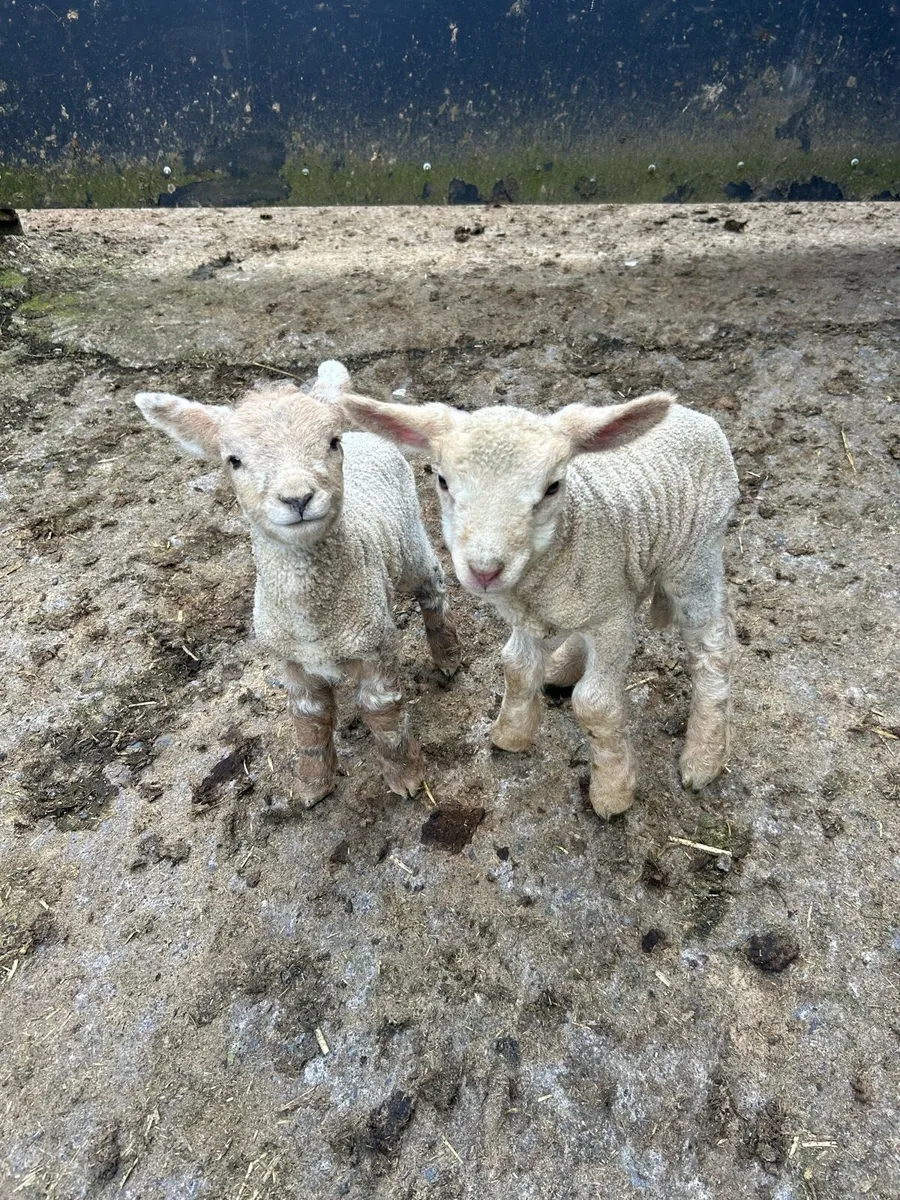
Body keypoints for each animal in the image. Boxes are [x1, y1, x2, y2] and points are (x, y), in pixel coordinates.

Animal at [134, 361, 460, 807]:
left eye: (331, 443)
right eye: (233, 460)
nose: (297, 499)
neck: (314, 620)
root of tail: (363, 435)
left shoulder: (375, 648)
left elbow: (385, 715)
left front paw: (406, 778)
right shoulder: (290, 660)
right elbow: (308, 722)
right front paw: (313, 785)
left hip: (409, 542)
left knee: (433, 585)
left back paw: (448, 655)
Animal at [342, 388, 739, 818]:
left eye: (552, 487)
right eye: (443, 481)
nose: (484, 571)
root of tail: (696, 416)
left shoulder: (611, 620)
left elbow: (596, 704)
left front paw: (613, 790)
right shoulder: (541, 612)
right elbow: (516, 667)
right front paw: (511, 733)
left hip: (695, 558)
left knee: (713, 644)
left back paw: (704, 755)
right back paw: (562, 666)